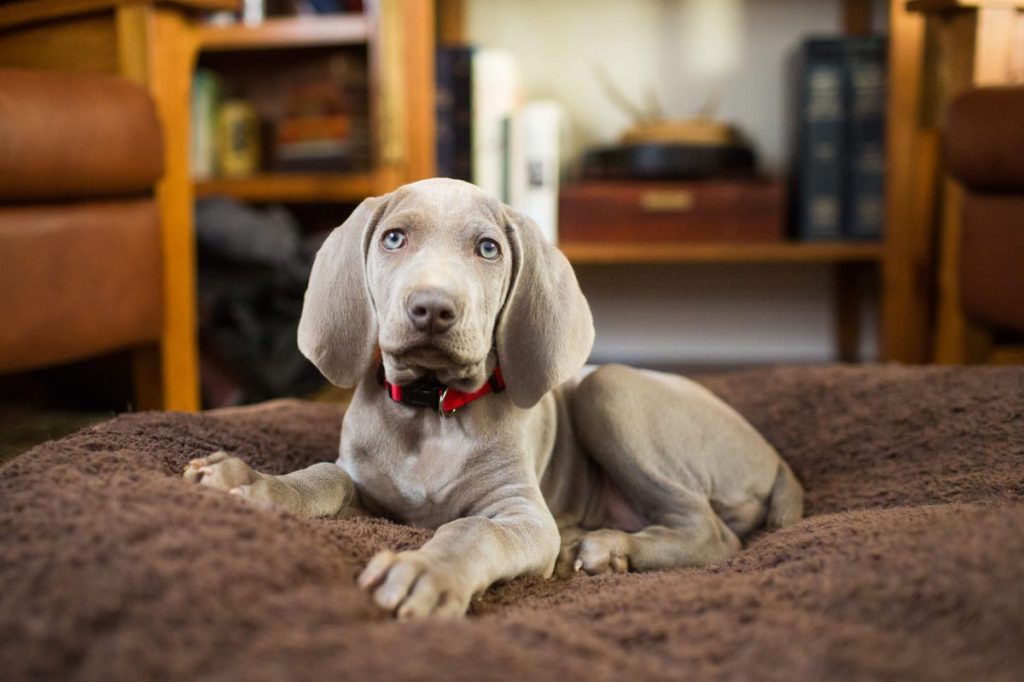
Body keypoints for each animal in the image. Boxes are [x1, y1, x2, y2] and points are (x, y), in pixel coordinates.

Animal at [188, 176, 802, 614]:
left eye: (488, 249)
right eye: (394, 238)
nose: (432, 307)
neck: (432, 411)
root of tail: (775, 458)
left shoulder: (523, 514)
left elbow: (471, 530)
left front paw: (427, 572)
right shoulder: (369, 488)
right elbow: (324, 477)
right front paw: (249, 482)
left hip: (609, 387)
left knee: (712, 531)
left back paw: (607, 547)